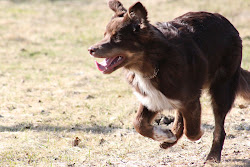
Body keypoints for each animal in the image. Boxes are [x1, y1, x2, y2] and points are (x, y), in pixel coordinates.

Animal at [87, 0, 248, 162]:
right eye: (105, 35)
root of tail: (228, 24)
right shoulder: (151, 98)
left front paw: (191, 134)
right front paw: (165, 135)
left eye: (116, 37)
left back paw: (213, 156)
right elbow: (138, 123)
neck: (155, 62)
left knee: (219, 127)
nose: (90, 49)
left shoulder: (190, 99)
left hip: (222, 89)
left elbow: (192, 132)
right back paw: (170, 139)